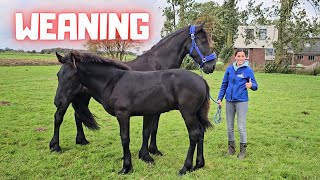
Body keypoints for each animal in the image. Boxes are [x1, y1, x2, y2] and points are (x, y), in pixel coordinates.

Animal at [50, 23, 216, 161]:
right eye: (202, 41)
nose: (212, 66)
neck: (158, 63)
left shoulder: (153, 109)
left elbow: (152, 129)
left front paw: (151, 151)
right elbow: (149, 130)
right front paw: (148, 152)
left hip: (80, 98)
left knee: (78, 116)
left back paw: (81, 140)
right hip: (67, 98)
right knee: (58, 117)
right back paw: (55, 145)